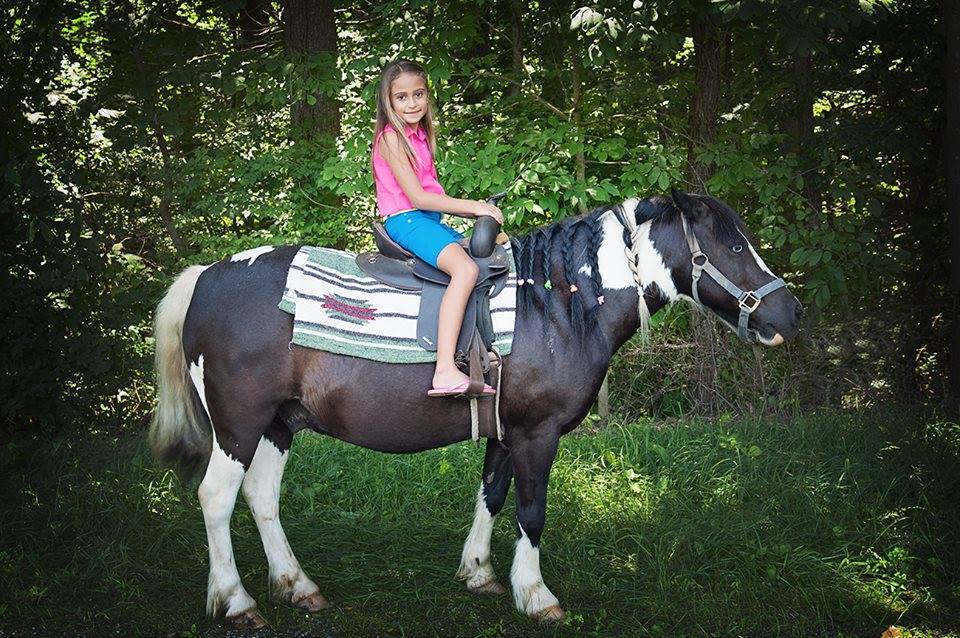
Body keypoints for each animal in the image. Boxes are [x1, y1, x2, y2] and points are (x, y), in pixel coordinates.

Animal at [149, 189, 802, 627]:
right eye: (733, 243)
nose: (790, 314)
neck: (557, 305)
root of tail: (205, 276)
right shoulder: (538, 432)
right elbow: (531, 512)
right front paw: (536, 595)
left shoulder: (505, 430)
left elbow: (491, 494)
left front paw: (480, 572)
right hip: (238, 426)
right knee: (216, 498)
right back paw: (236, 601)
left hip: (279, 424)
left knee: (261, 498)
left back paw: (296, 584)